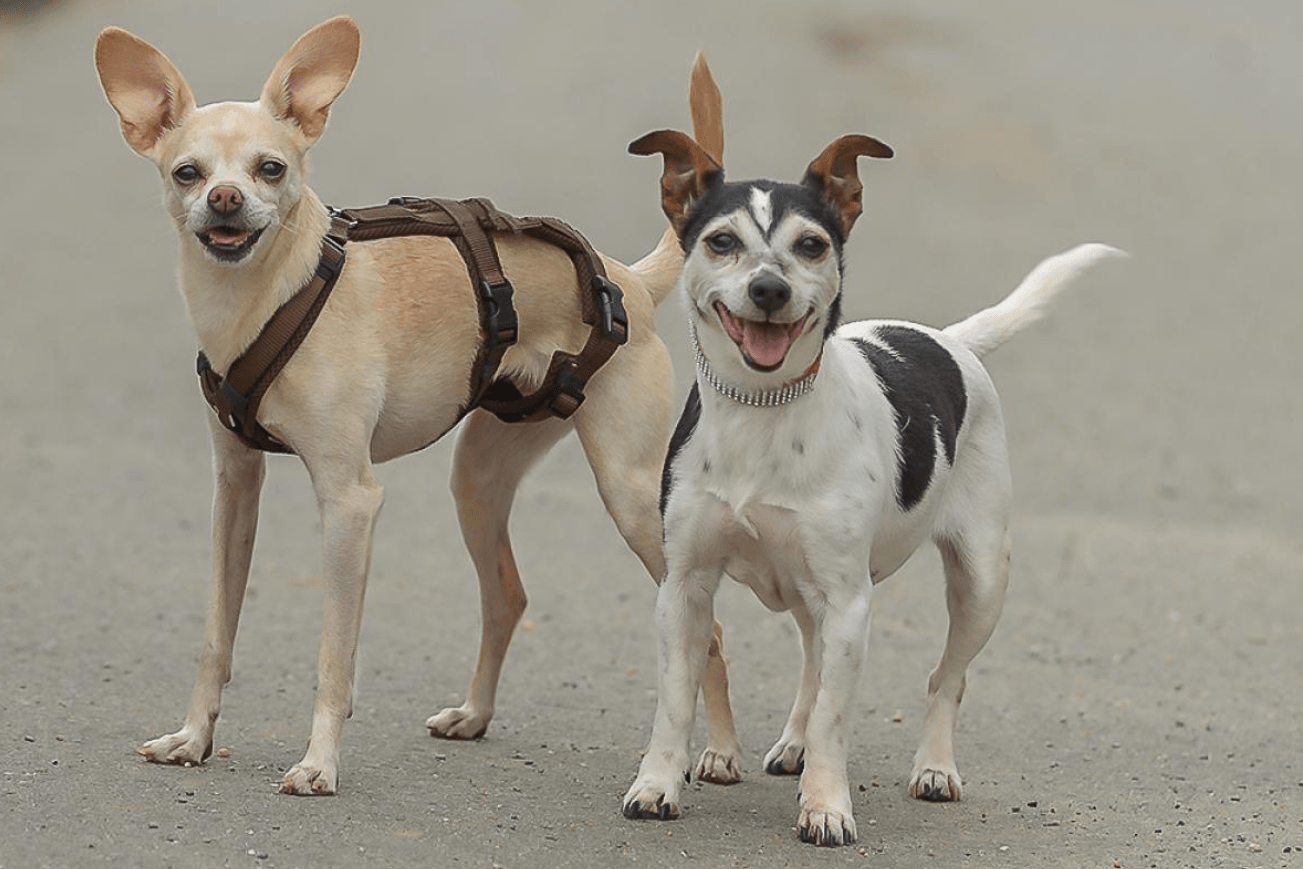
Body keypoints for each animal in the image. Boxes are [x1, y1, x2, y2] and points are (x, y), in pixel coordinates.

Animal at [620, 125, 1120, 844]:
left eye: (810, 244)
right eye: (721, 241)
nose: (769, 289)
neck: (763, 411)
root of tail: (949, 339)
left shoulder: (850, 601)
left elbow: (836, 717)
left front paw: (827, 806)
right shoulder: (683, 587)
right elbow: (674, 699)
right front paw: (657, 784)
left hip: (980, 581)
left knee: (945, 677)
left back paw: (933, 767)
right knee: (812, 658)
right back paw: (792, 743)